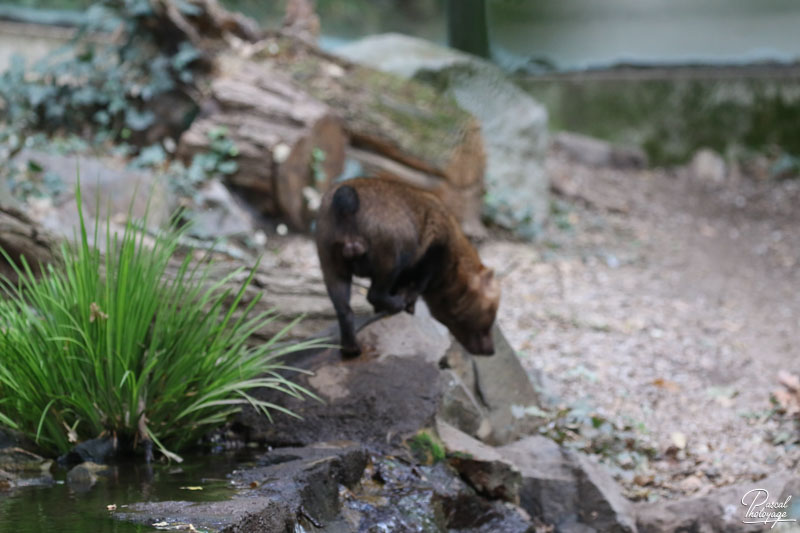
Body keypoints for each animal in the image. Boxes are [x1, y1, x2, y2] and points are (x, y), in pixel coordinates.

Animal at [314, 179, 496, 358]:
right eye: (491, 314)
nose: (491, 351)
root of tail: (346, 202)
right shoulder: (431, 255)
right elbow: (416, 287)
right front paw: (406, 305)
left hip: (331, 265)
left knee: (344, 310)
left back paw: (350, 349)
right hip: (391, 260)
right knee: (374, 294)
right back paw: (396, 304)